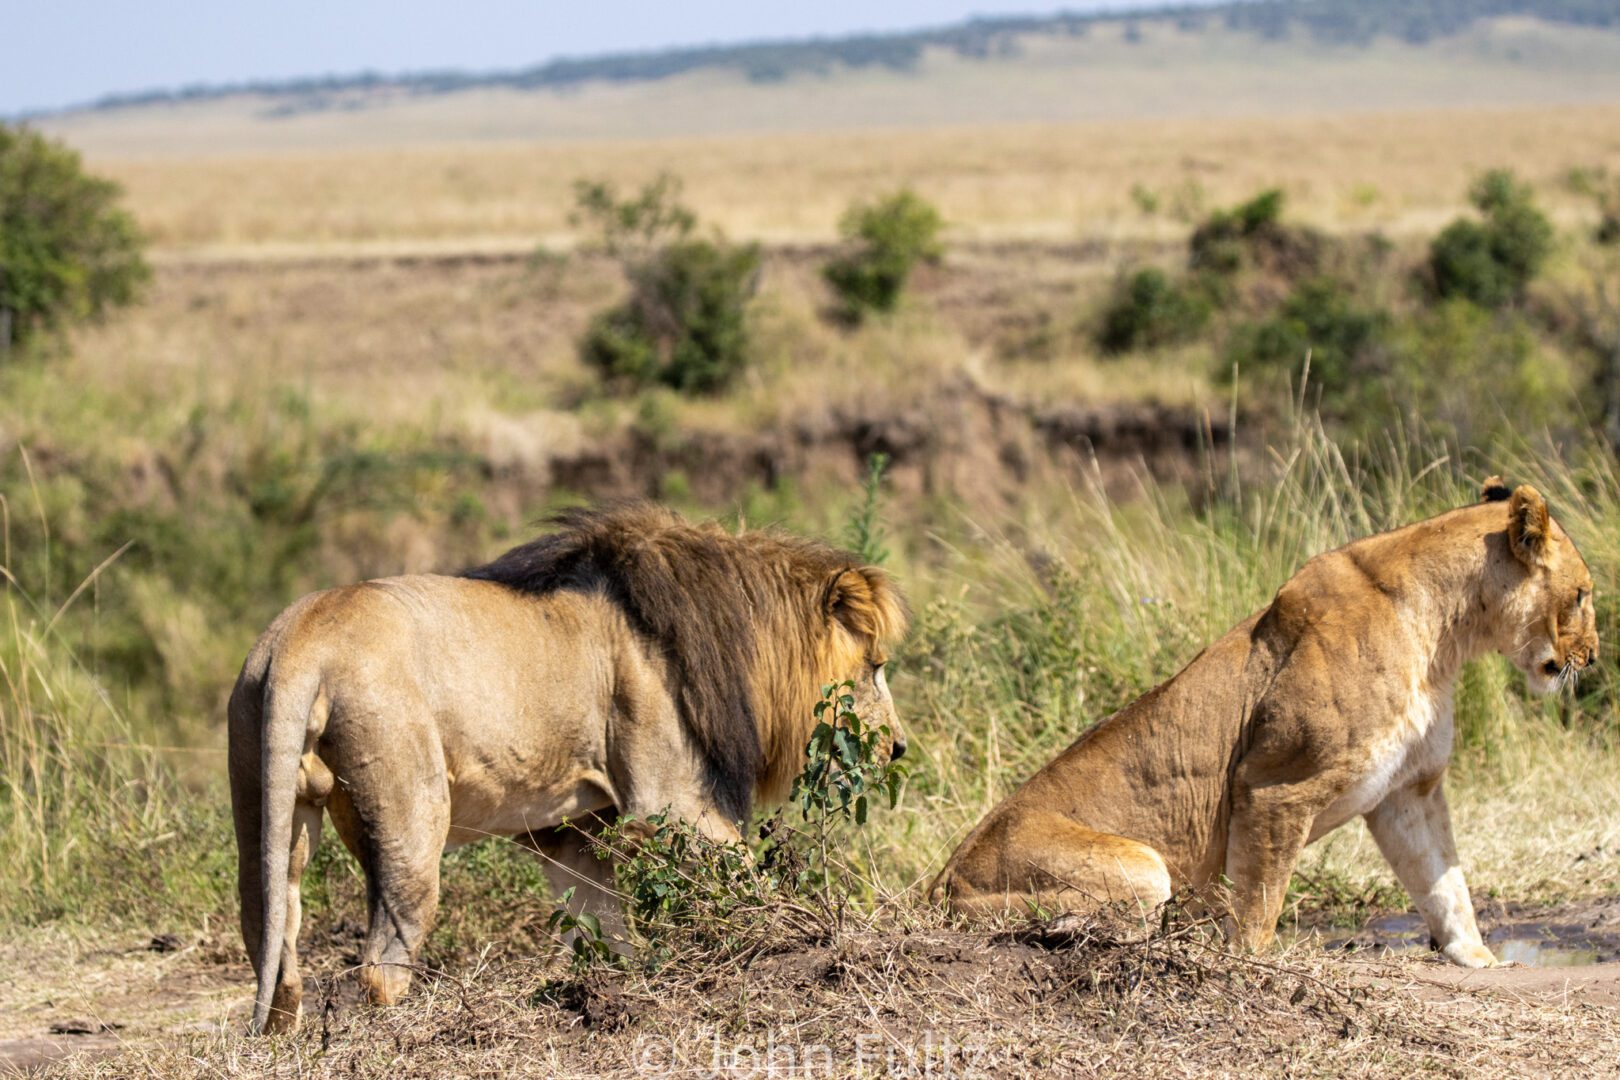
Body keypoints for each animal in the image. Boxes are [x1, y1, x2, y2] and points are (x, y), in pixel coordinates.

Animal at [233, 501, 907, 1036]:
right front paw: (791, 932)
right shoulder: (671, 798)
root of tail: (301, 642)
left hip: (262, 796)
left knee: (272, 937)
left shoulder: (572, 831)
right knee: (382, 963)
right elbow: (747, 877)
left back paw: (281, 1037)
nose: (900, 748)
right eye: (875, 667)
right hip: (411, 811)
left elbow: (605, 928)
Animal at [933, 476, 1600, 965]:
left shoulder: (1408, 790)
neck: (1444, 636)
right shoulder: (1274, 786)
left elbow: (1444, 882)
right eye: (1584, 594)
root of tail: (940, 885)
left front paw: (1477, 957)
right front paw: (1248, 963)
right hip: (1141, 870)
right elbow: (1258, 902)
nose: (1592, 657)